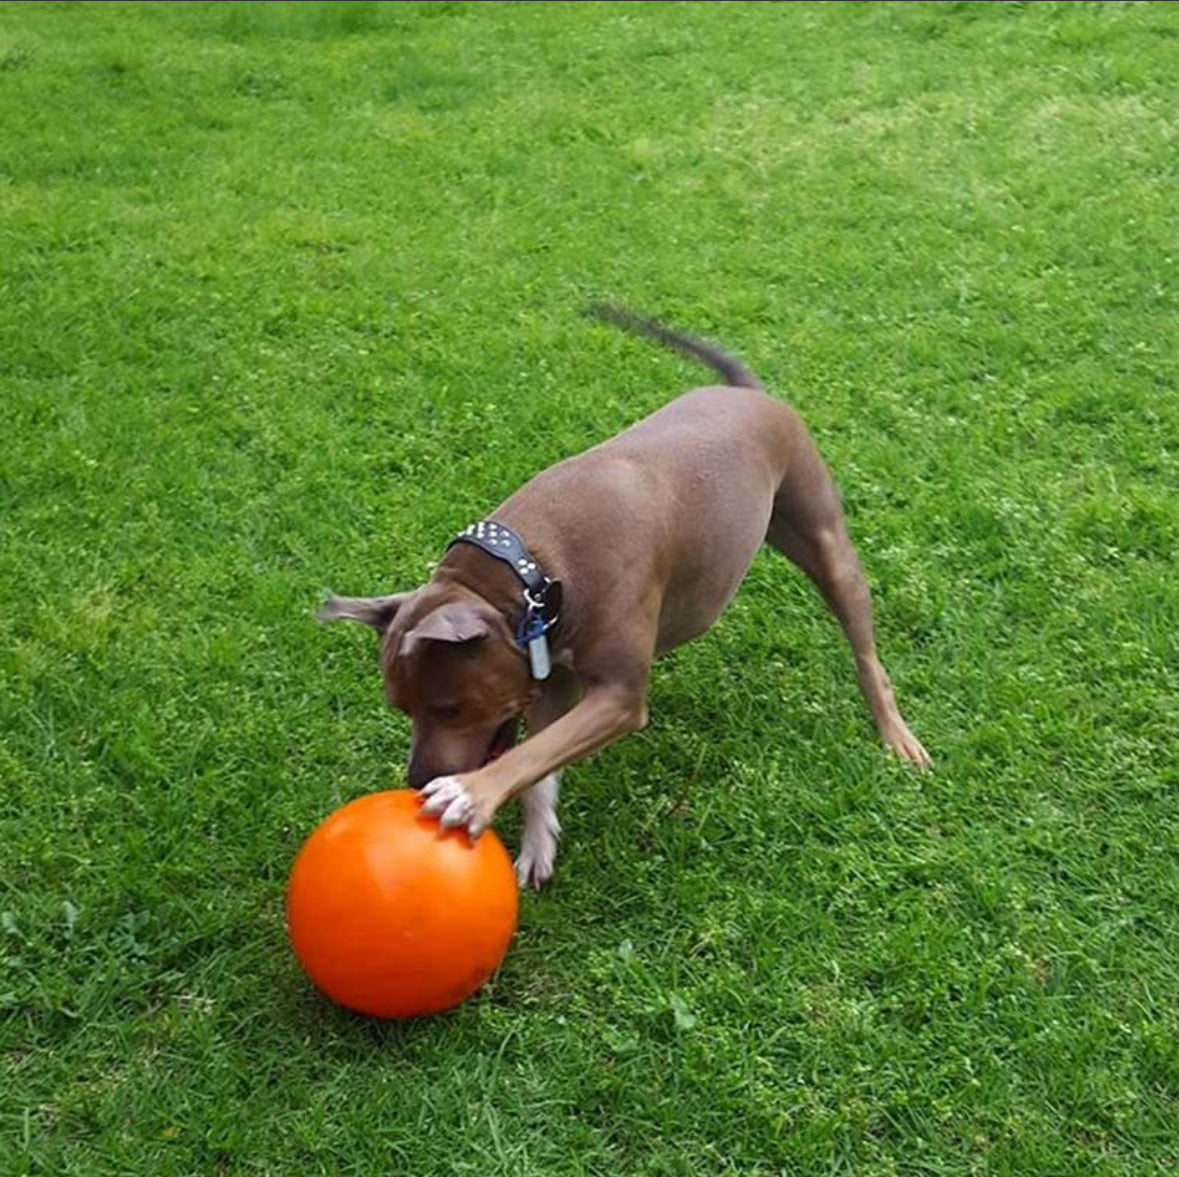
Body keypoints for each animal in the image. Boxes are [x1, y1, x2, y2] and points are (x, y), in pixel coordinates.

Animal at [323, 308, 929, 886]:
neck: (531, 573)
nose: (417, 780)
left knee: (867, 654)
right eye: (400, 707)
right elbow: (539, 762)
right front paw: (538, 843)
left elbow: (535, 751)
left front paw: (470, 793)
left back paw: (896, 734)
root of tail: (749, 391)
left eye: (447, 707)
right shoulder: (548, 677)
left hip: (827, 545)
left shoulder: (618, 695)